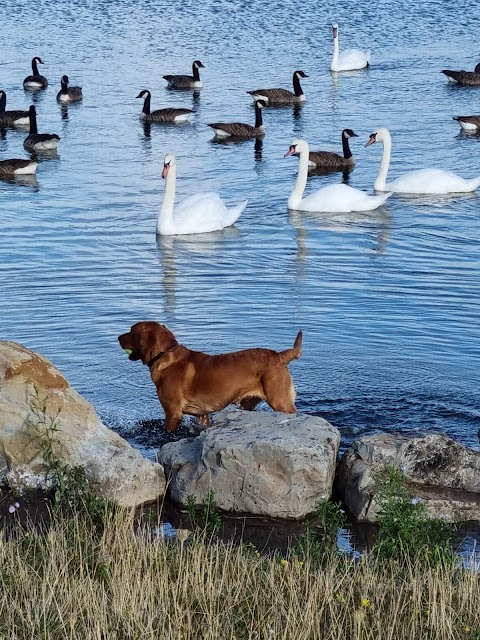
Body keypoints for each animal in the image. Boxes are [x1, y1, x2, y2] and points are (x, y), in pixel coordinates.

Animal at [118, 322, 302, 432]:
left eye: (131, 332)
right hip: (248, 404)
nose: (118, 336)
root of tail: (279, 356)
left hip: (281, 402)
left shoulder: (172, 413)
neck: (164, 354)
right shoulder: (202, 415)